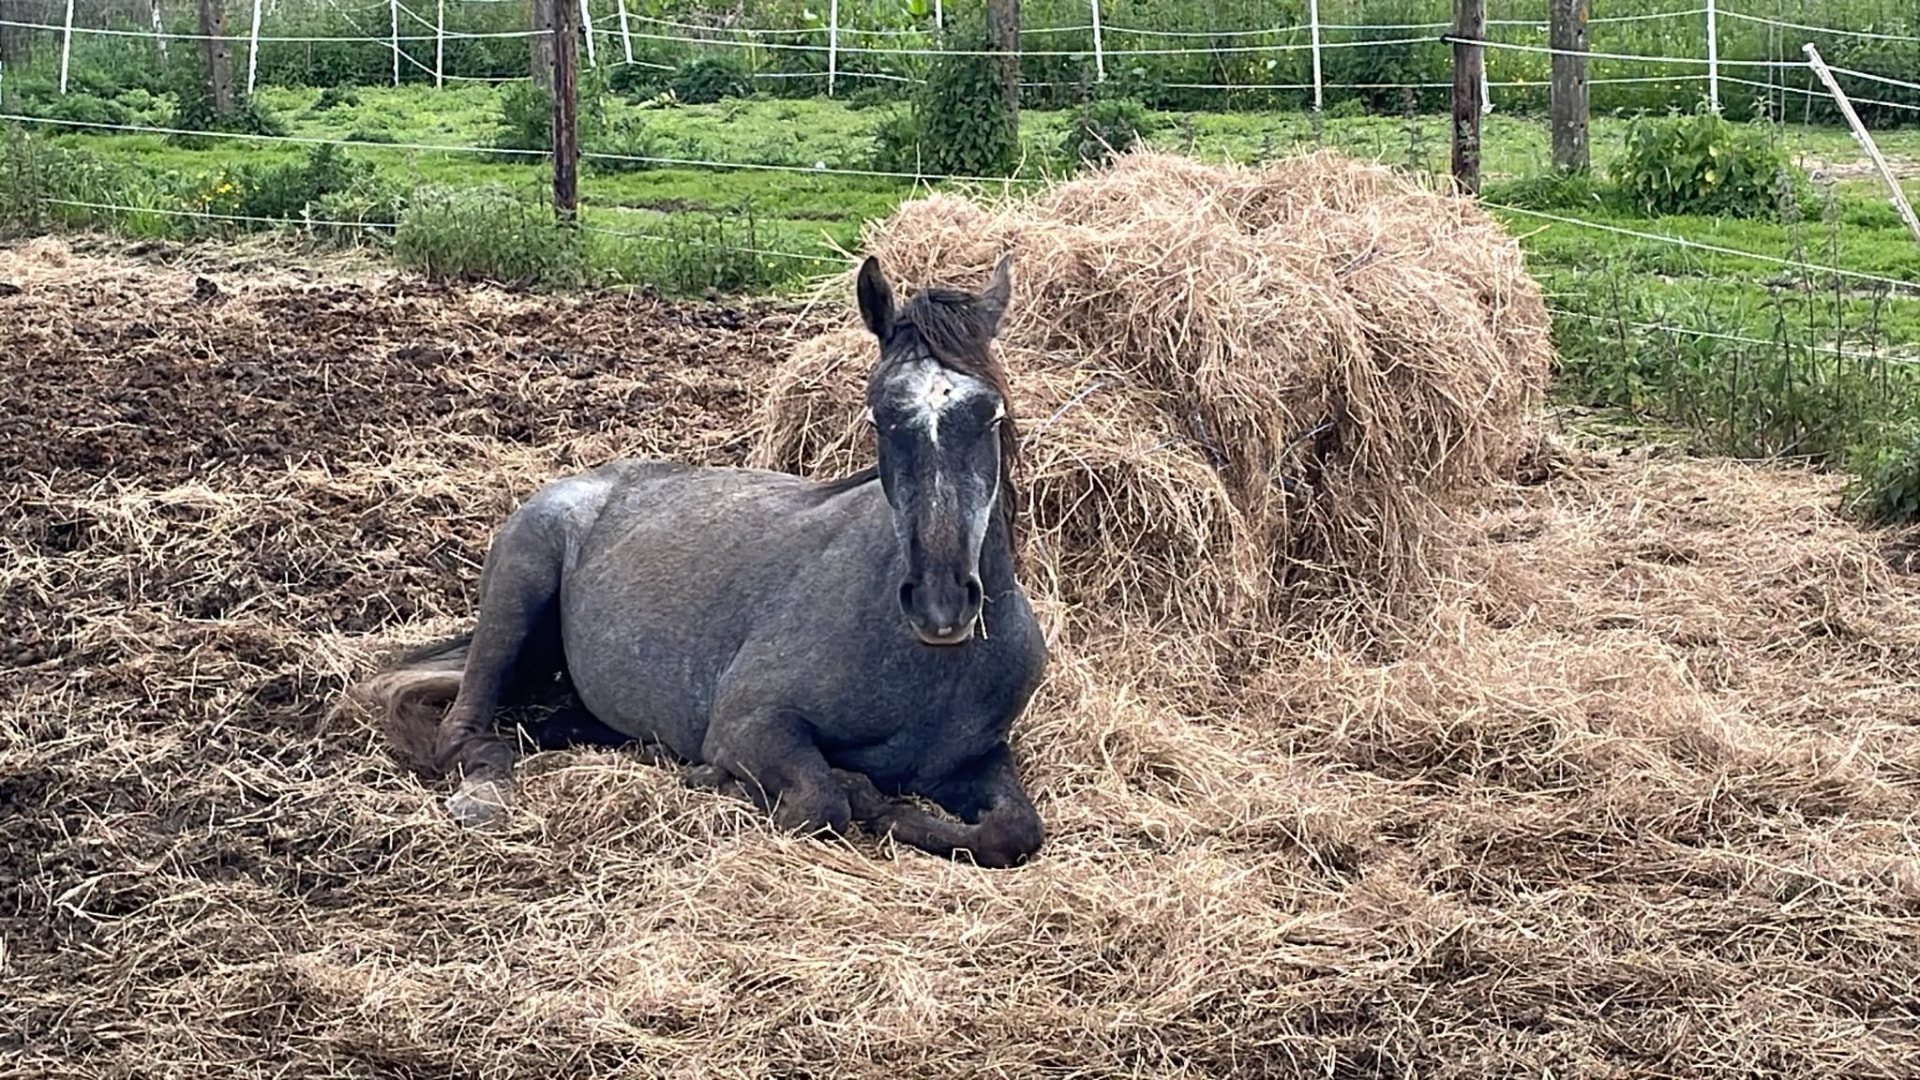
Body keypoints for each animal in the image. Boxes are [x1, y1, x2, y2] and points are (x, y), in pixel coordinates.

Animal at [351, 253, 1050, 869]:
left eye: (991, 415)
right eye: (880, 417)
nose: (941, 604)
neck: (923, 665)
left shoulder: (977, 758)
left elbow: (1013, 832)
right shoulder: (750, 724)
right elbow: (821, 801)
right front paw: (772, 785)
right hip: (516, 592)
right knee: (464, 730)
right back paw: (485, 794)